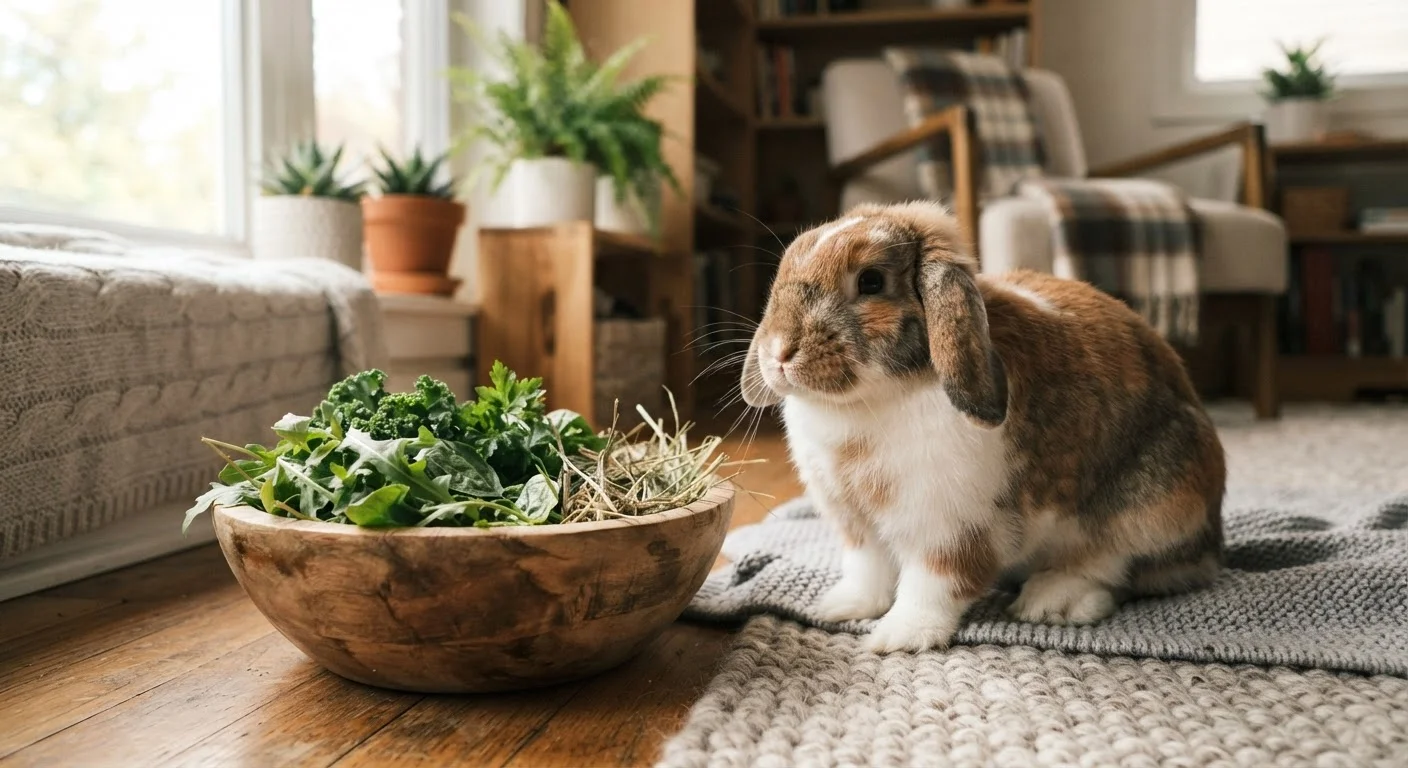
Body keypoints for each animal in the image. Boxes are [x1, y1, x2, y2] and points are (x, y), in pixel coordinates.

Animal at [740, 200, 1225, 653]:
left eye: (871, 281)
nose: (779, 352)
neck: (866, 402)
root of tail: (1212, 541)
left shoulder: (948, 528)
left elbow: (932, 585)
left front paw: (898, 637)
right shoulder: (857, 525)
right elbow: (868, 572)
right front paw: (841, 608)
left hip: (1152, 505)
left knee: (1115, 567)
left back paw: (1052, 601)